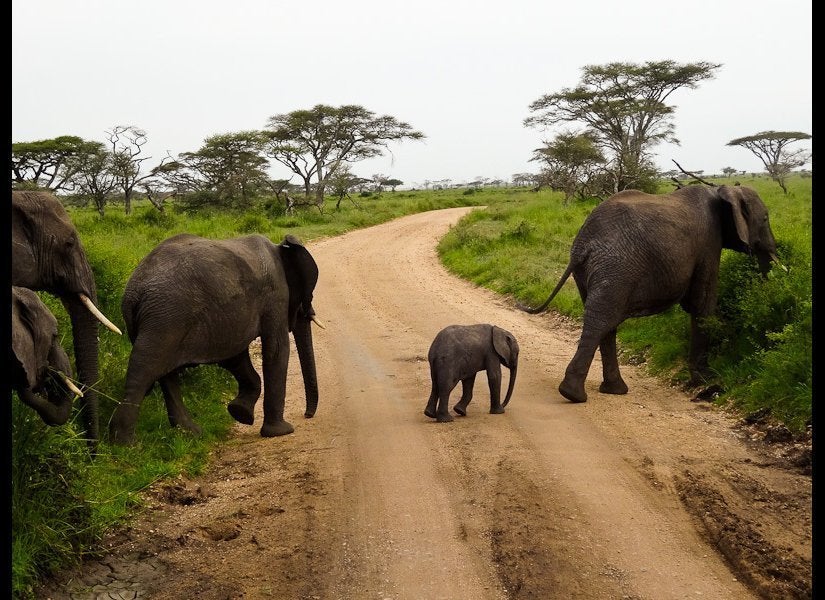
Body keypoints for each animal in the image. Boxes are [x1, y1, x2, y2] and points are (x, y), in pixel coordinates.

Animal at [108, 232, 326, 442]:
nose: (307, 415)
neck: (280, 249)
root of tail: (134, 291)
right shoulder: (275, 295)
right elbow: (276, 350)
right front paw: (281, 431)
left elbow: (234, 357)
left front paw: (240, 413)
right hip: (164, 318)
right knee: (144, 373)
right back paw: (125, 444)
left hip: (158, 320)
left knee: (165, 376)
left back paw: (191, 434)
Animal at [520, 185, 784, 406]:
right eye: (766, 218)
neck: (721, 191)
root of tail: (582, 245)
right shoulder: (709, 242)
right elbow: (703, 304)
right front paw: (706, 380)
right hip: (617, 268)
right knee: (602, 320)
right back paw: (574, 395)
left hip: (592, 272)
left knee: (605, 321)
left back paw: (612, 390)